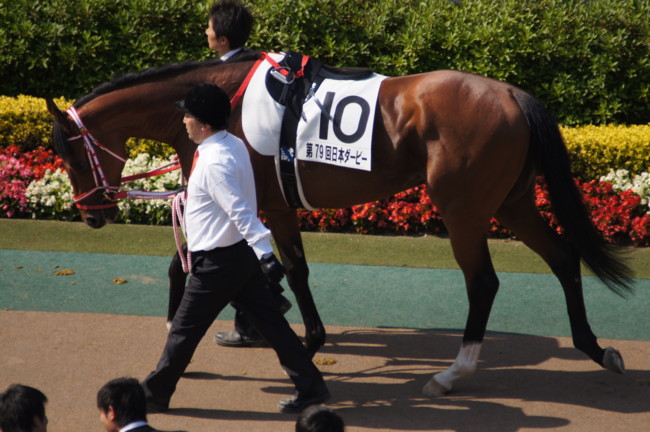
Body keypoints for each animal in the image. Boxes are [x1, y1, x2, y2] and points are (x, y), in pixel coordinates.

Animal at [46, 55, 632, 396]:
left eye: (69, 153)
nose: (91, 214)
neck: (222, 104)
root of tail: (512, 93)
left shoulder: (258, 203)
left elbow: (271, 269)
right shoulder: (260, 206)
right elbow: (276, 269)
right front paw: (284, 335)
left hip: (463, 209)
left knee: (483, 282)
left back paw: (453, 373)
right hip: (511, 203)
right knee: (563, 258)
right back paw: (596, 348)